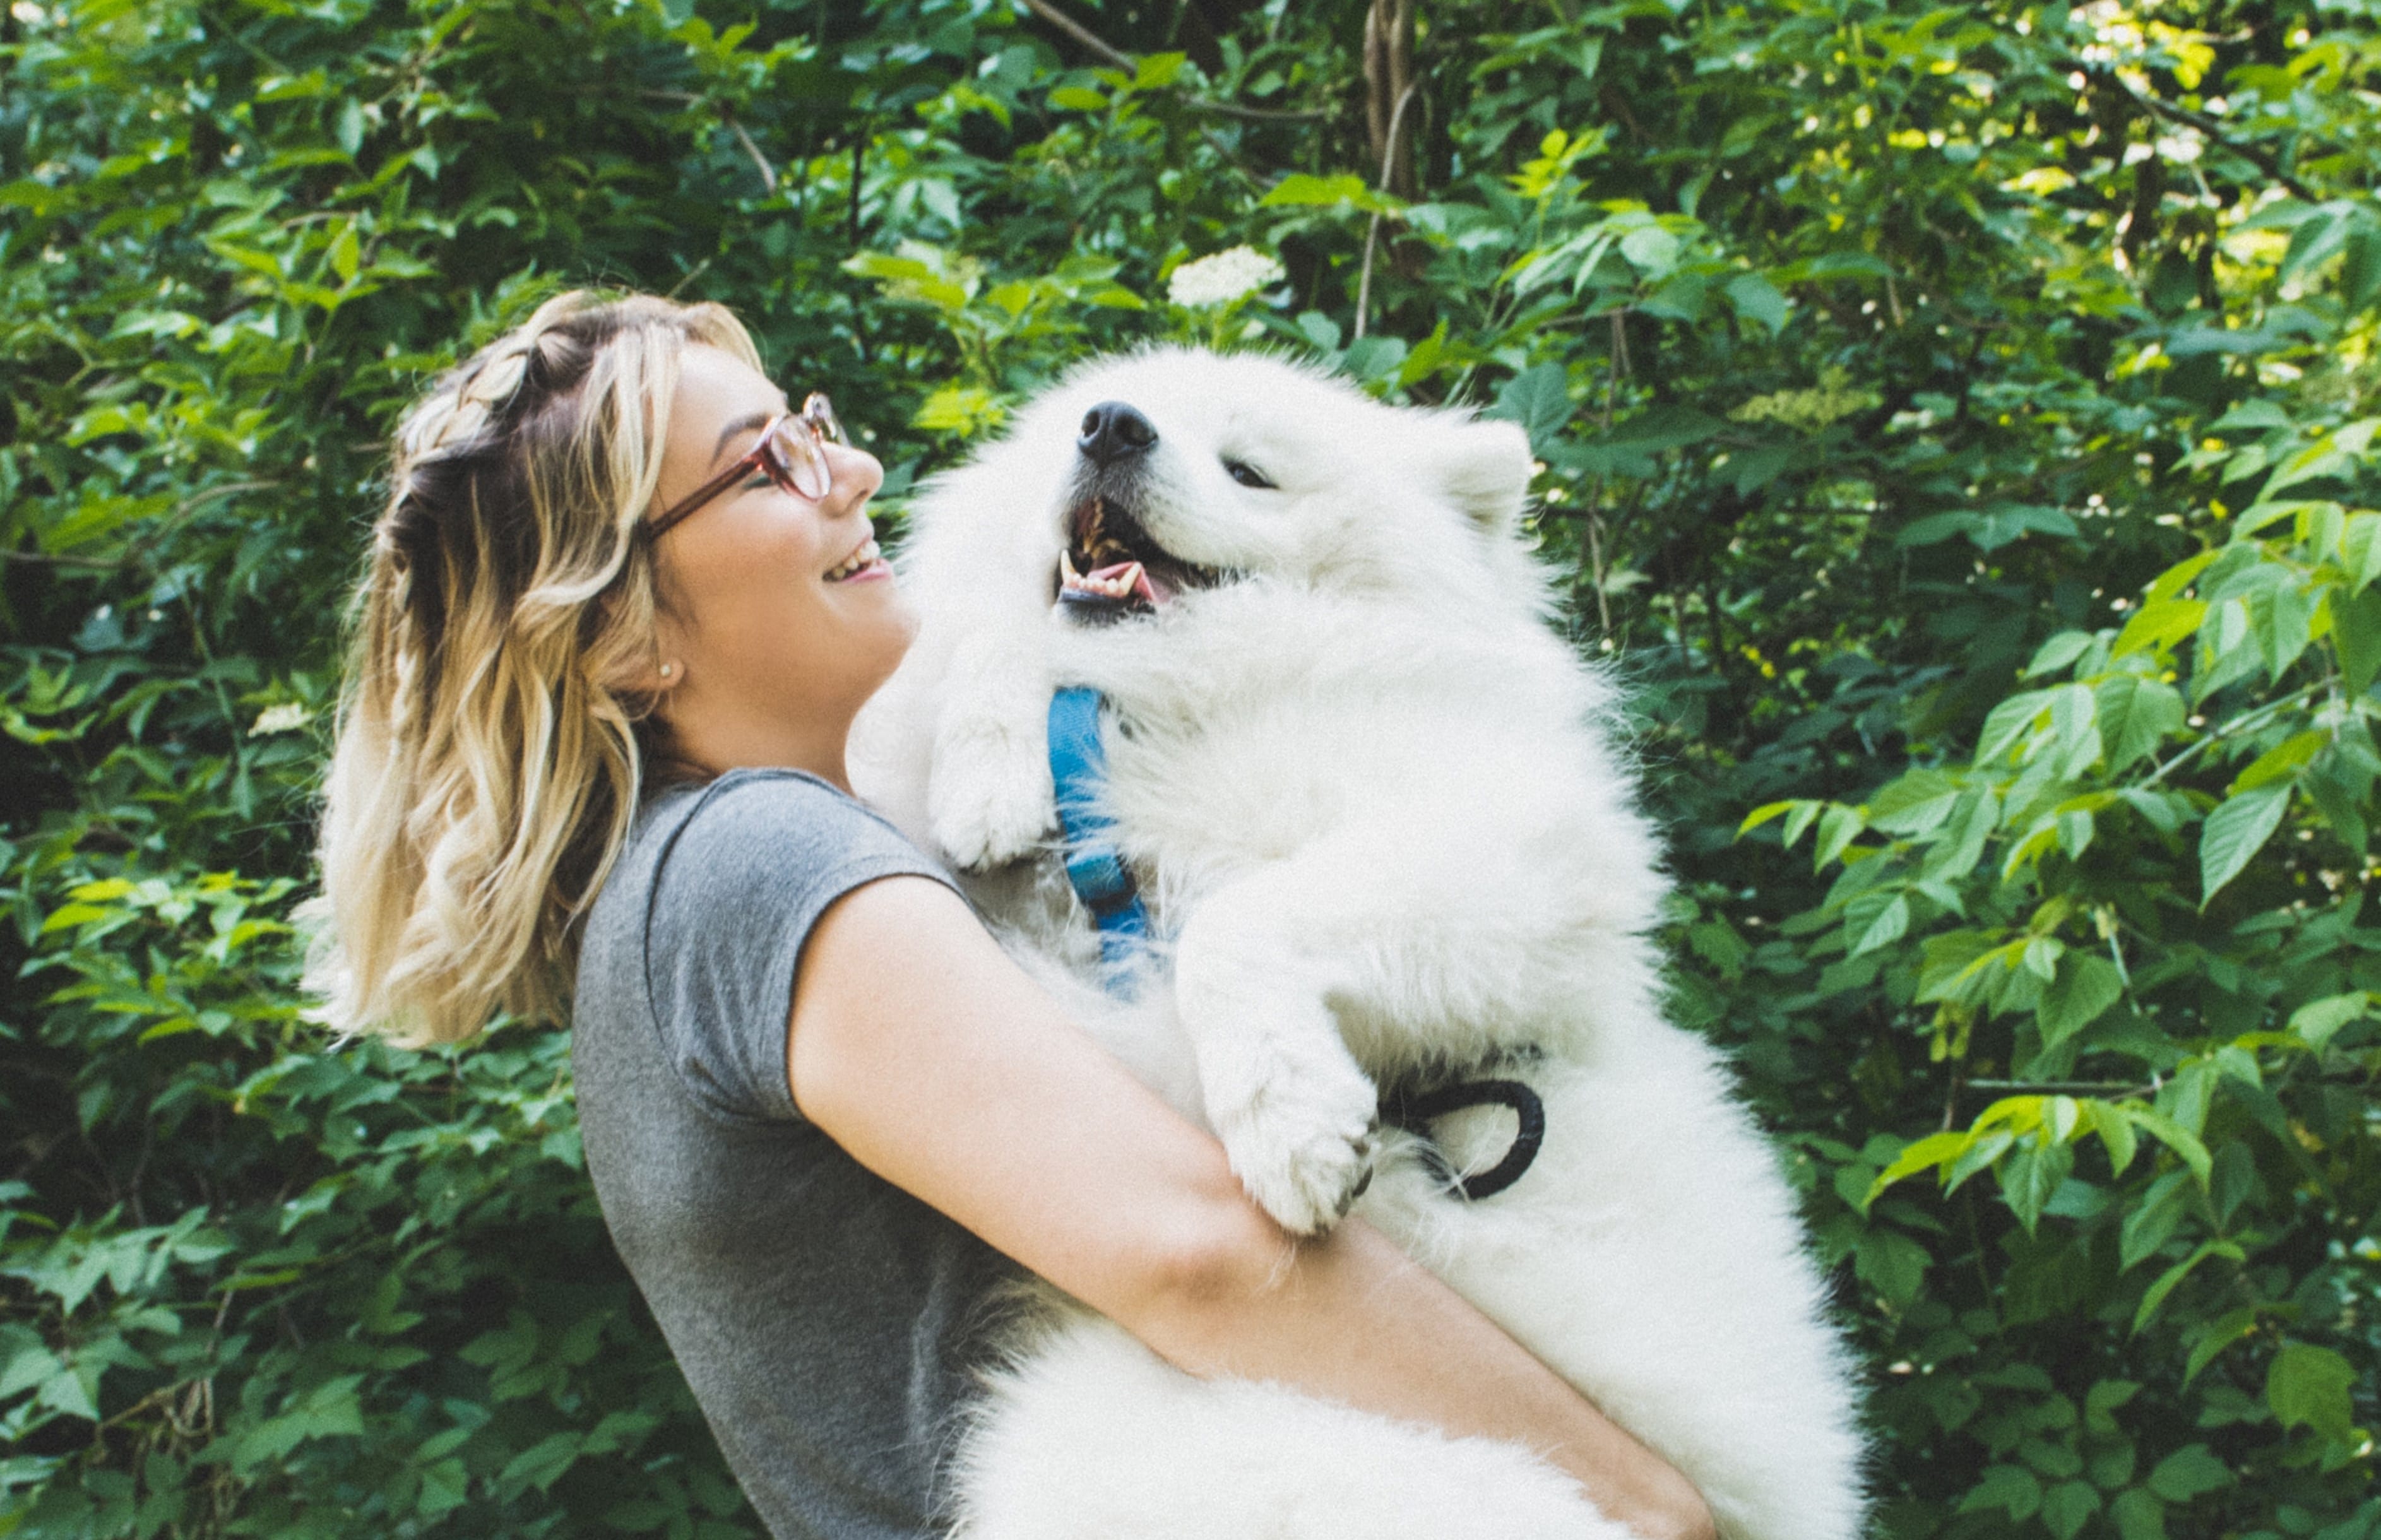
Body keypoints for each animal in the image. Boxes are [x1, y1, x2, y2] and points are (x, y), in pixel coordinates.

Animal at [847, 350, 1867, 1540]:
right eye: (1081, 426)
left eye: (1249, 469)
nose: (1111, 428)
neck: (1168, 717)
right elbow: (987, 643)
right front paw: (989, 773)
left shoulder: (1503, 848)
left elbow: (1243, 922)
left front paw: (1293, 1128)